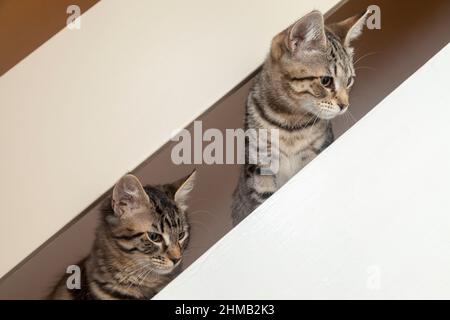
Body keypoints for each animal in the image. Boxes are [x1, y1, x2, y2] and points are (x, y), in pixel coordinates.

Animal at [232, 10, 370, 225]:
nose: (344, 105)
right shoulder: (260, 166)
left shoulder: (314, 154)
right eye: (326, 81)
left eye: (349, 81)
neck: (290, 122)